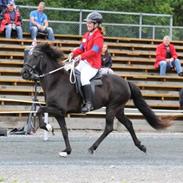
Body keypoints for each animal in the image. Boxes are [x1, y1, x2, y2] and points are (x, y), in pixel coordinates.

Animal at [21, 43, 172, 157]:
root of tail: (125, 81)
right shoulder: (59, 113)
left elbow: (39, 110)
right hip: (118, 109)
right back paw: (141, 146)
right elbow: (64, 131)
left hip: (112, 108)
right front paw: (67, 150)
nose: (24, 73)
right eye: (26, 55)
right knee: (128, 124)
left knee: (109, 128)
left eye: (35, 56)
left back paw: (92, 147)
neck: (56, 81)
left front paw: (48, 127)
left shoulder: (58, 110)